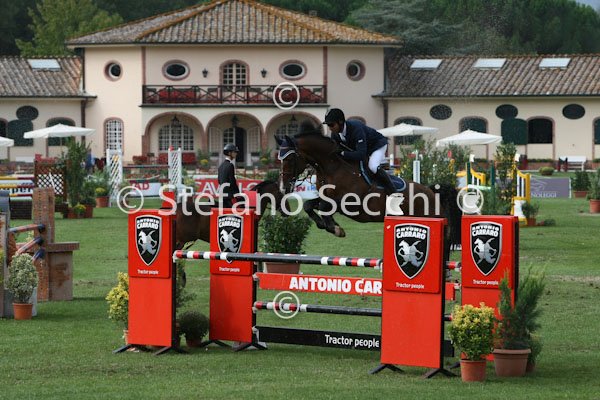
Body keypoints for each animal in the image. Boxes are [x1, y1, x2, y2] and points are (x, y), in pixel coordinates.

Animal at [275, 124, 462, 247]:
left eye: (289, 159)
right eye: (280, 159)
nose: (284, 187)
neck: (332, 166)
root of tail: (431, 192)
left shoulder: (350, 202)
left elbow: (323, 206)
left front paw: (335, 228)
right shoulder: (325, 197)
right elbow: (309, 205)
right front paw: (330, 226)